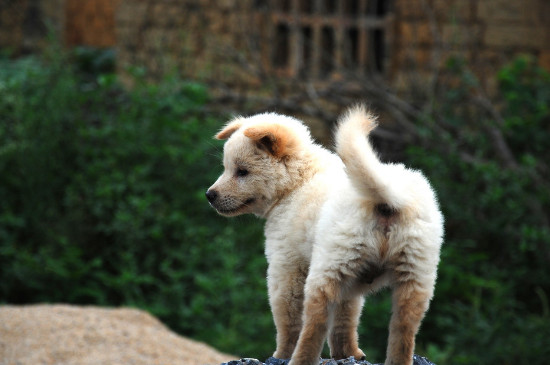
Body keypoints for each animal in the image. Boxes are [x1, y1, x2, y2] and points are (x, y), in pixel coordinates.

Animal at [206, 106, 444, 364]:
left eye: (242, 171)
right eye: (225, 167)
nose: (210, 195)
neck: (297, 183)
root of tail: (386, 199)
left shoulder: (286, 267)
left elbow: (289, 320)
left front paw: (282, 354)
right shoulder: (351, 282)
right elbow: (345, 319)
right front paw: (348, 353)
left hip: (328, 266)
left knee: (315, 324)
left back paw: (298, 358)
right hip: (415, 273)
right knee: (404, 329)